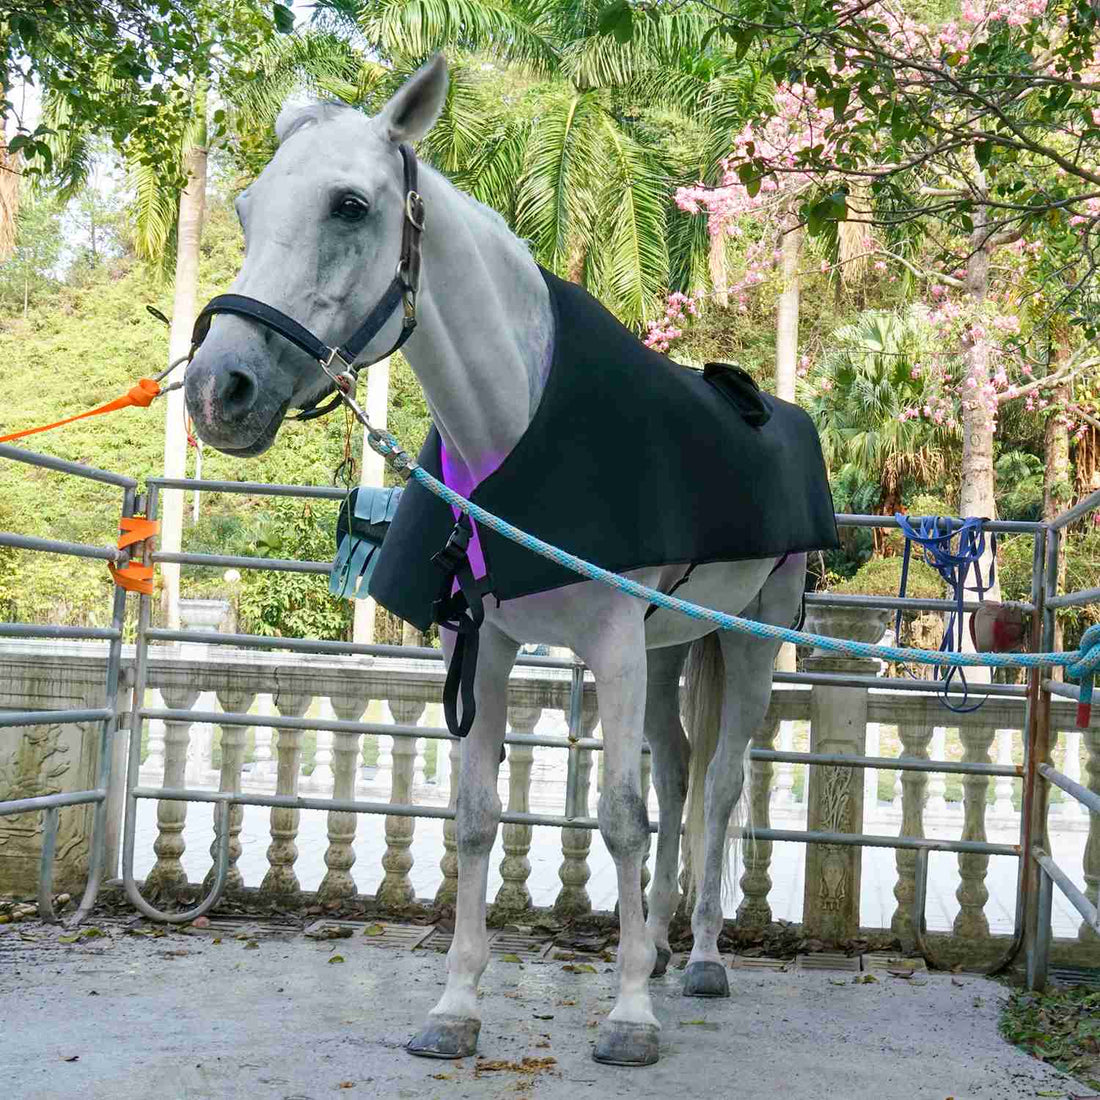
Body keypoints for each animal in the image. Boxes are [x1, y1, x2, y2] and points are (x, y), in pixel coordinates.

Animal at [184, 55, 810, 1068]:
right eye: (244, 210)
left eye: (351, 206)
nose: (217, 390)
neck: (515, 423)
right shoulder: (481, 646)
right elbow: (478, 819)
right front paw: (457, 1005)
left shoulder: (614, 648)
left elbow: (621, 817)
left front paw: (628, 1014)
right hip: (671, 648)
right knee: (680, 775)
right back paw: (661, 943)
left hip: (748, 638)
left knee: (716, 790)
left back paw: (703, 961)